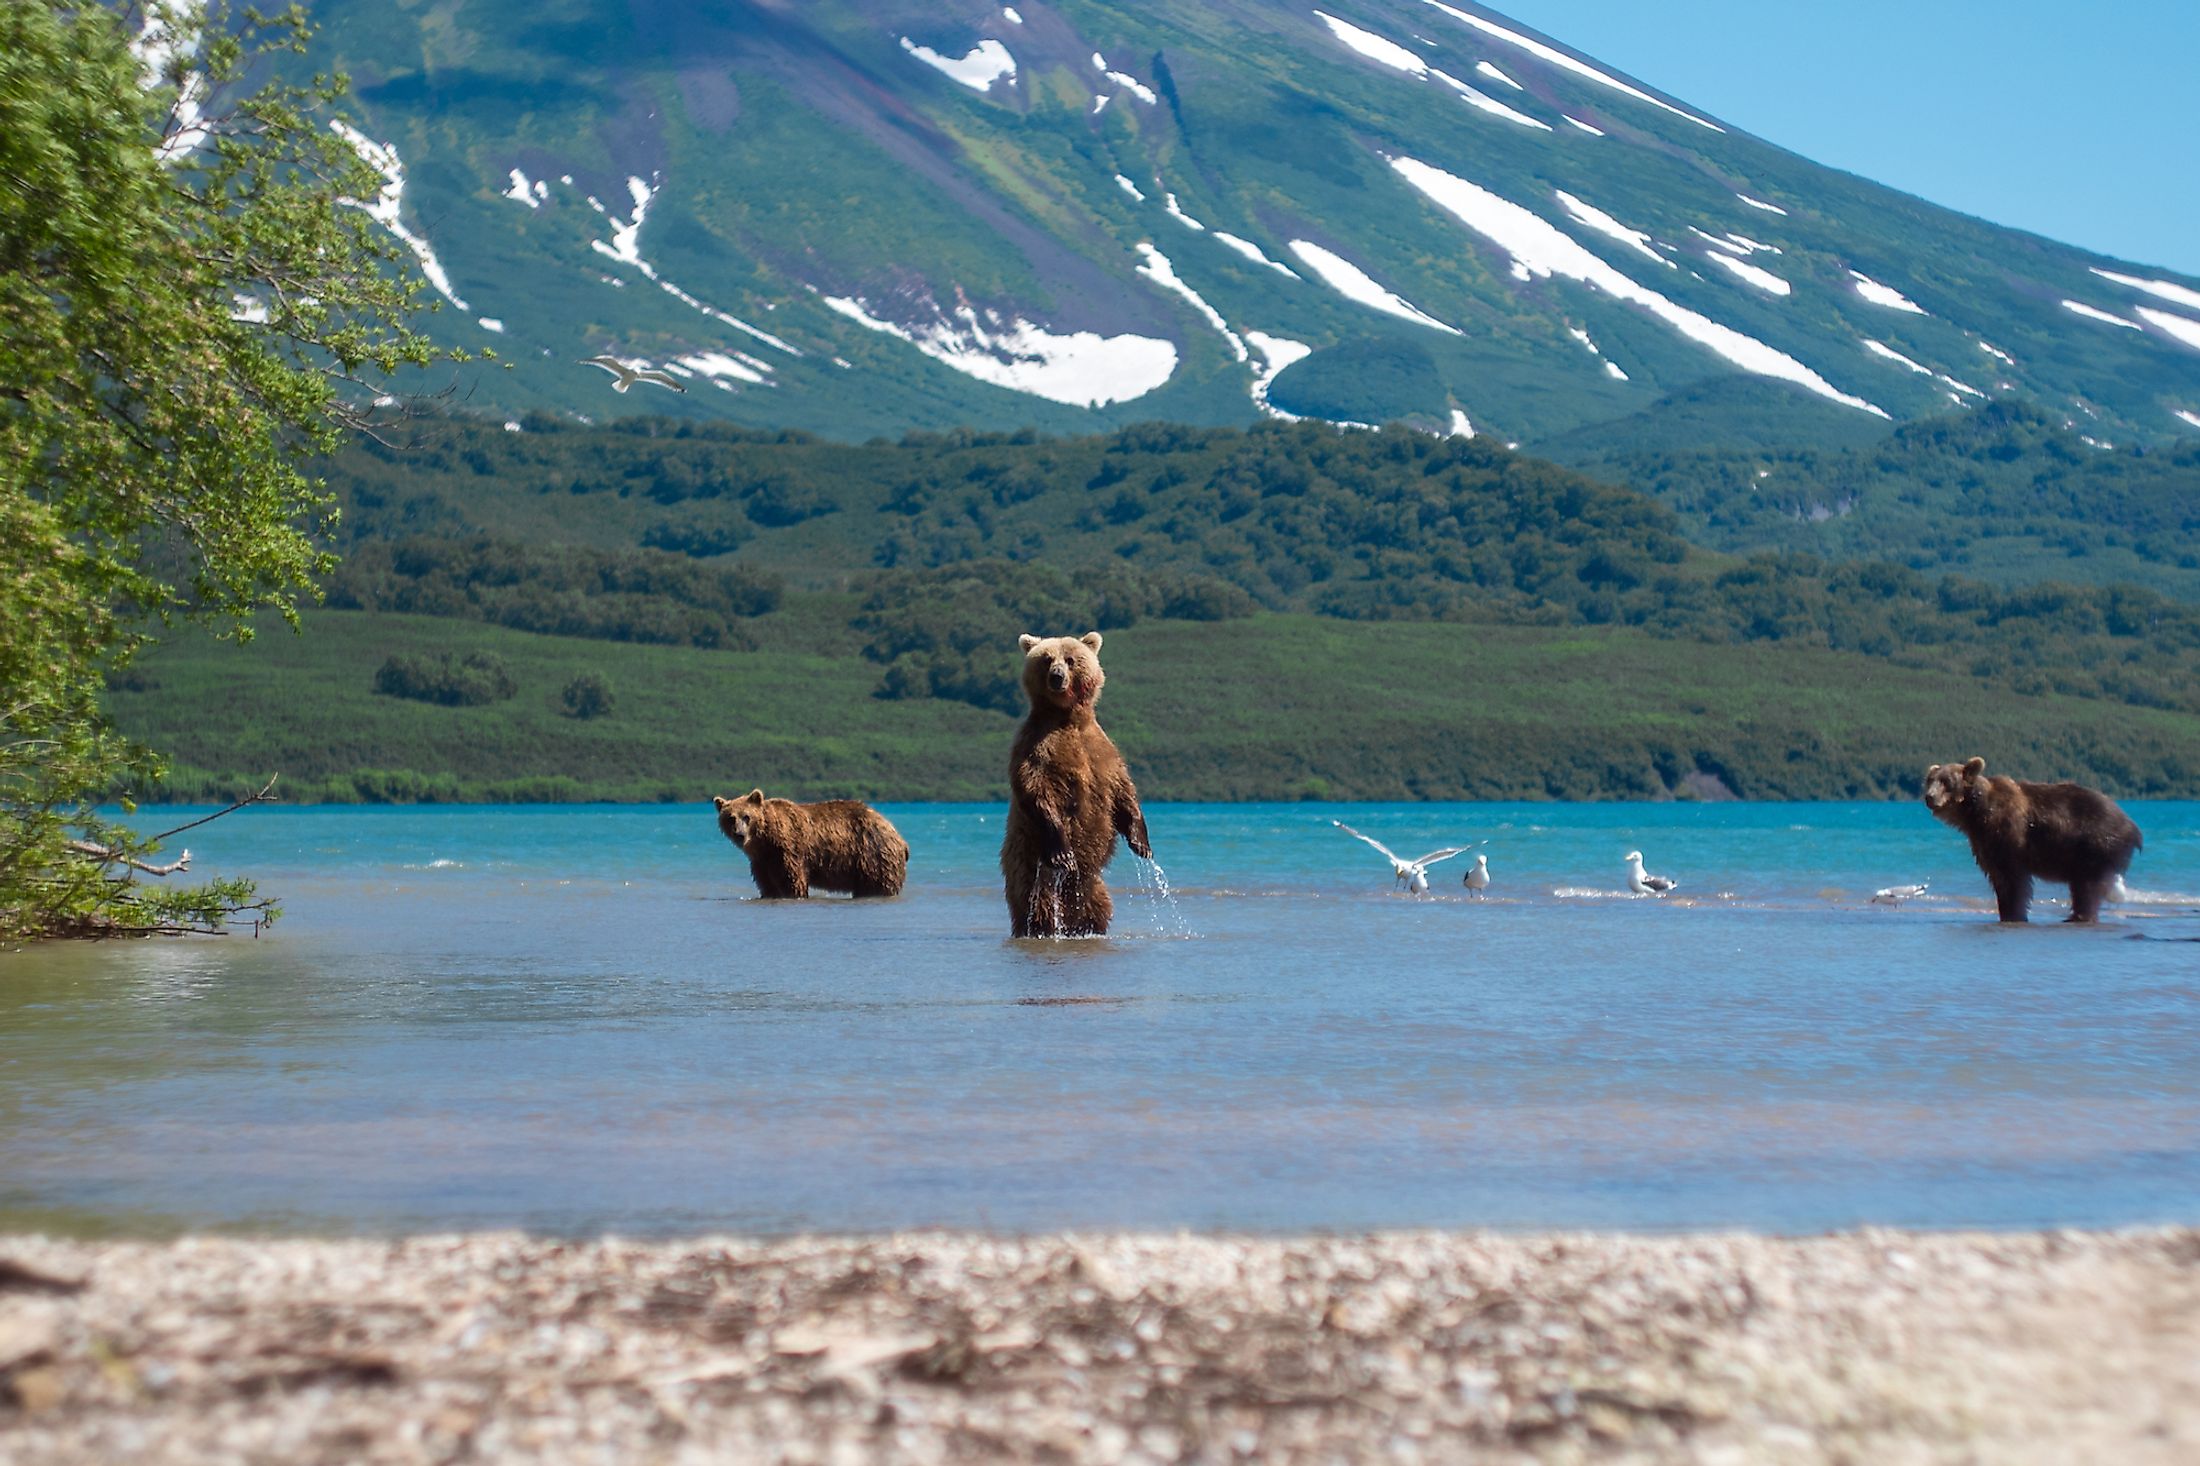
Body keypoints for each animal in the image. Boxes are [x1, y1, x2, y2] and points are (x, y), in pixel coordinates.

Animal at [708, 792, 906, 898]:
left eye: (747, 816)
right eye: (730, 818)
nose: (740, 834)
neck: (766, 840)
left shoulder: (789, 849)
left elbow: (792, 881)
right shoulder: (762, 860)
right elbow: (767, 884)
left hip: (872, 855)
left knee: (879, 885)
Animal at [1007, 629, 1161, 937]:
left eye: (1070, 659)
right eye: (1046, 659)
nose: (1057, 676)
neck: (1067, 717)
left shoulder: (1101, 752)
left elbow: (1124, 793)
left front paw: (1142, 844)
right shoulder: (1035, 747)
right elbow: (1036, 790)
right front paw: (1064, 853)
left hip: (1093, 886)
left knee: (1097, 906)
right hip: (1029, 863)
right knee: (1037, 903)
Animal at [1927, 757, 2147, 920]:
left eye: (1946, 781)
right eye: (1930, 780)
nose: (1929, 797)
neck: (1976, 812)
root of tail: (2132, 826)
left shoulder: (2007, 833)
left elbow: (2012, 879)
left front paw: (2013, 912)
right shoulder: (1983, 841)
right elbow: (1998, 876)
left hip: (2095, 845)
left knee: (2088, 886)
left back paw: (2079, 915)